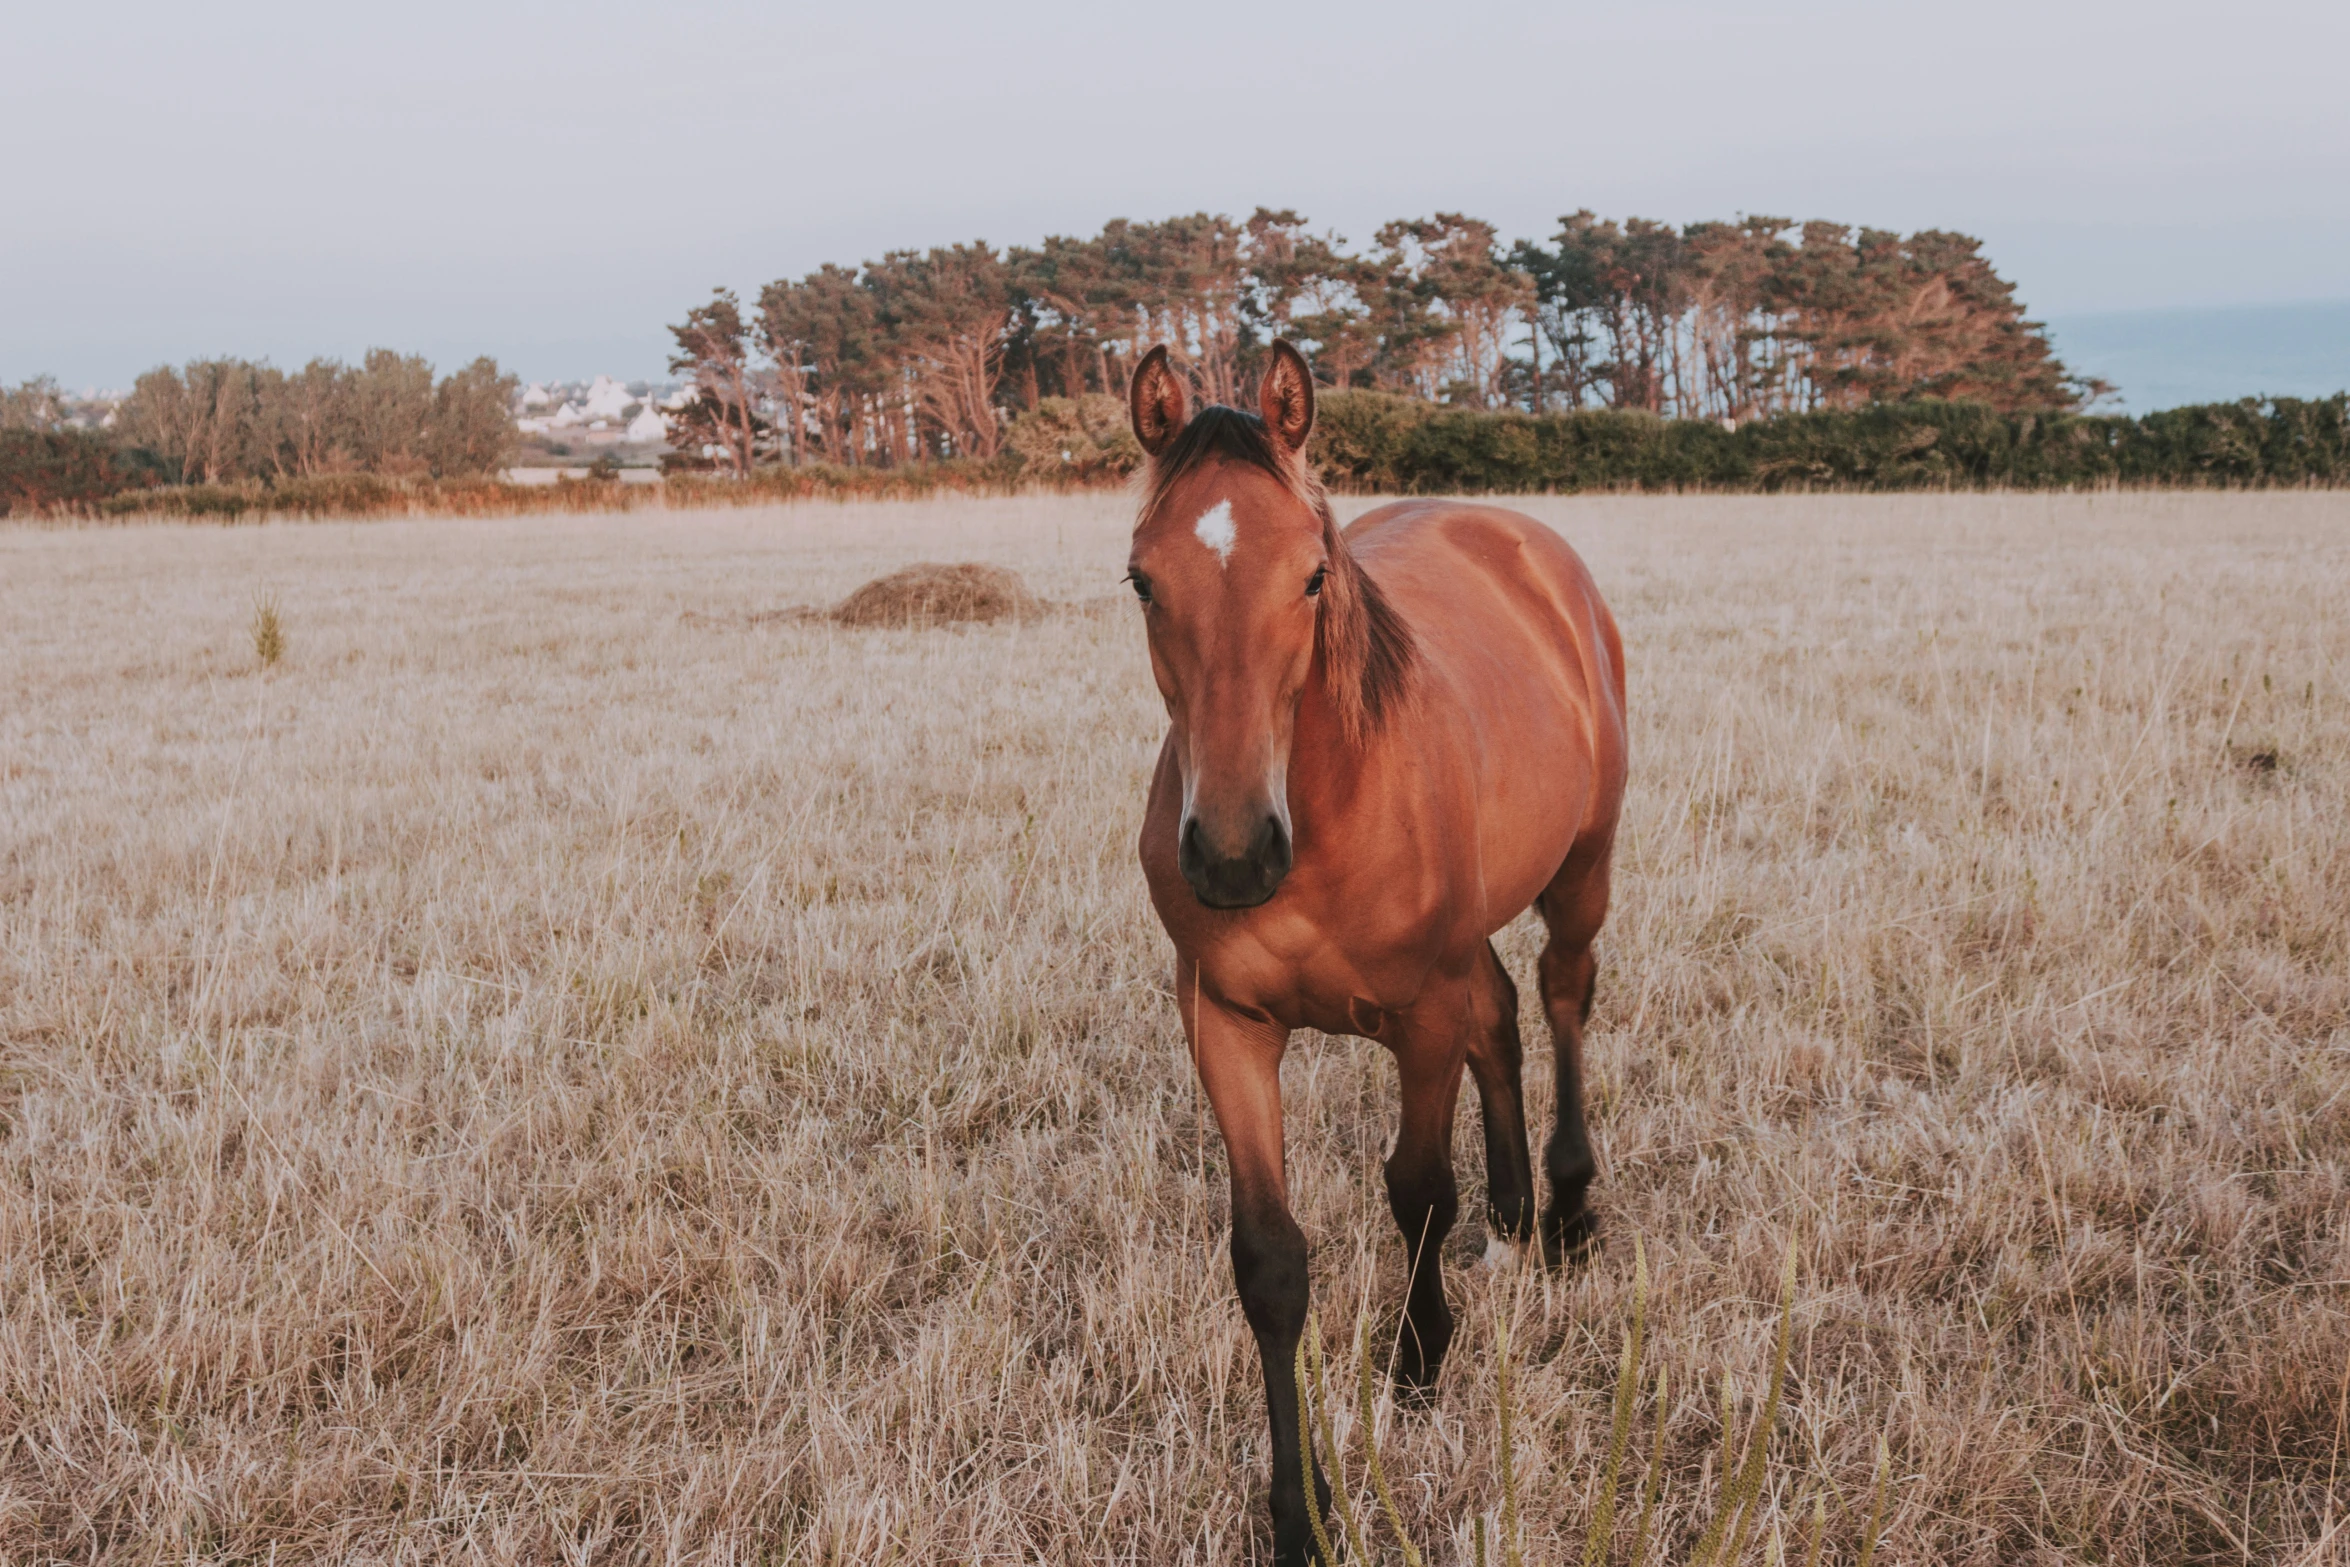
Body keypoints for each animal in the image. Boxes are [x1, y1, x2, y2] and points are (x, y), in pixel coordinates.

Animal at [1128, 340, 1626, 1559]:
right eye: (1143, 581)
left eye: (1312, 575)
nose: (1231, 855)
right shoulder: (1223, 1022)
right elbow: (1267, 1258)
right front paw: (1297, 1510)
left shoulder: (1420, 1015)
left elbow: (1416, 1190)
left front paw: (1418, 1359)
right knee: (1505, 1012)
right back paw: (1514, 1216)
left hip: (1581, 870)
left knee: (1558, 995)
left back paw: (1566, 1206)